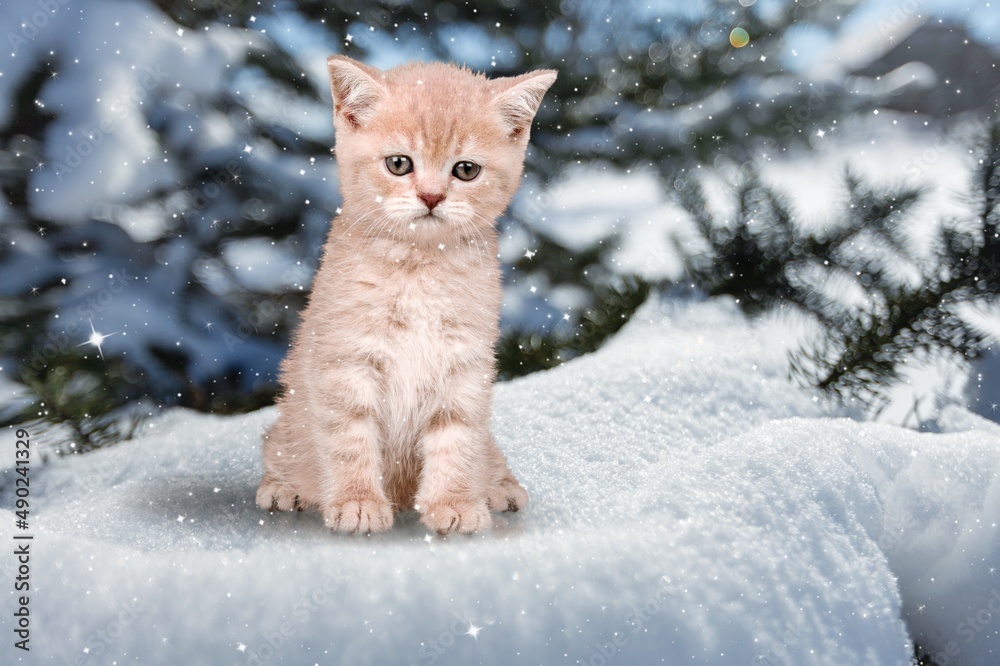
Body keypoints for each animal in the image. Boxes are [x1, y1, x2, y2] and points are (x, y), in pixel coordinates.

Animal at [254, 57, 560, 536]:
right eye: (399, 164)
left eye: (466, 170)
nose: (431, 196)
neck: (419, 267)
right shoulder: (346, 359)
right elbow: (349, 436)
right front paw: (358, 503)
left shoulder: (465, 364)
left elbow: (458, 437)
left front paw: (454, 502)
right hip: (288, 424)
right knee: (278, 446)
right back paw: (284, 488)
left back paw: (498, 486)